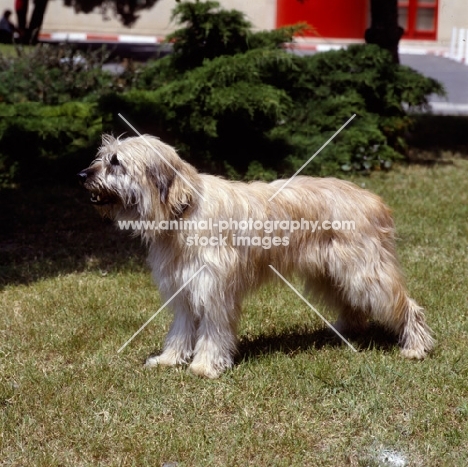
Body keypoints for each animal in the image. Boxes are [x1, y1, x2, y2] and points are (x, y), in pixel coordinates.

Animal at [78, 133, 434, 378]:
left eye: (116, 162)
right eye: (103, 157)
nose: (83, 175)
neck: (184, 210)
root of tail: (372, 198)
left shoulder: (214, 289)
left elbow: (214, 330)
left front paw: (205, 366)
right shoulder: (183, 290)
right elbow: (180, 329)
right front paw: (169, 360)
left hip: (365, 271)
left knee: (406, 305)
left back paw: (416, 347)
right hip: (331, 272)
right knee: (353, 305)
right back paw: (346, 330)